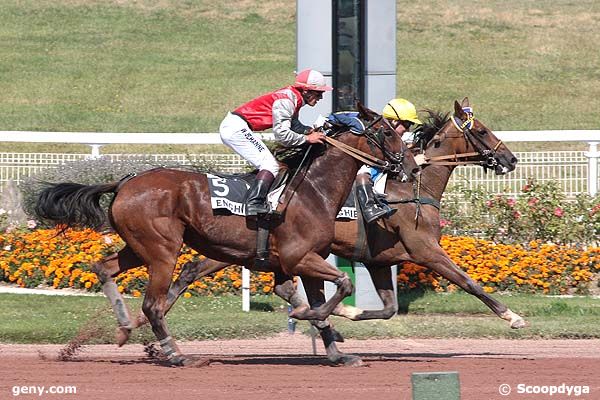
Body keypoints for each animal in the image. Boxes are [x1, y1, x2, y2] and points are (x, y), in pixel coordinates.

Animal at [32, 103, 418, 366]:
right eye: (387, 132)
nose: (412, 166)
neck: (313, 190)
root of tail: (125, 182)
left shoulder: (300, 262)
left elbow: (320, 297)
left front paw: (336, 350)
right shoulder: (298, 257)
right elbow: (342, 286)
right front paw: (315, 317)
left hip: (139, 246)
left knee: (104, 268)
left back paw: (125, 326)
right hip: (162, 250)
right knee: (153, 304)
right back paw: (176, 354)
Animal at [134, 98, 524, 364]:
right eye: (482, 130)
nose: (511, 159)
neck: (413, 189)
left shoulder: (379, 260)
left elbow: (387, 309)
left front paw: (342, 317)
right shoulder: (424, 249)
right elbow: (469, 282)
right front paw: (513, 317)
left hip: (237, 251)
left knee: (192, 271)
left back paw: (144, 331)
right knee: (189, 272)